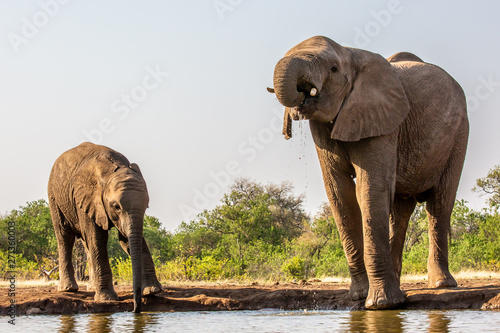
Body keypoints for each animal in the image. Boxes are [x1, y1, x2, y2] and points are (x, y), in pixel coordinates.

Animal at [47, 141, 162, 312]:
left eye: (147, 206)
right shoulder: (86, 198)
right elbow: (97, 239)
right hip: (55, 197)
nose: (135, 310)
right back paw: (68, 289)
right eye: (116, 206)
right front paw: (107, 298)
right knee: (65, 237)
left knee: (85, 243)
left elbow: (128, 239)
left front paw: (152, 291)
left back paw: (92, 287)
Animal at [270, 36, 468, 308]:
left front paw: (381, 304)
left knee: (439, 204)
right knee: (400, 210)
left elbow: (370, 188)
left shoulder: (382, 119)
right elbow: (340, 194)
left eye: (333, 69)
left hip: (459, 134)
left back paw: (440, 284)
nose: (301, 94)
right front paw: (359, 296)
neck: (350, 54)